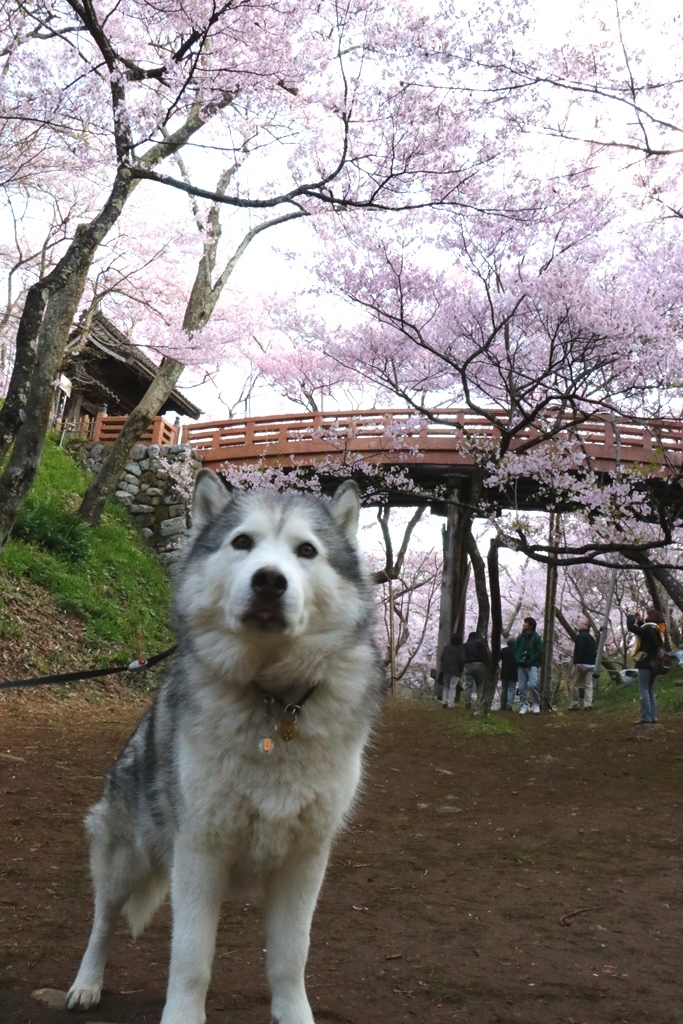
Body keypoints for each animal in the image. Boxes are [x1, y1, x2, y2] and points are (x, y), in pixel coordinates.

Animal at [68, 471, 385, 1024]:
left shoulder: (306, 861)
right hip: (123, 860)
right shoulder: (200, 852)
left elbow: (290, 957)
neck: (273, 701)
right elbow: (191, 959)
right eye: (242, 543)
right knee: (102, 924)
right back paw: (86, 984)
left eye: (307, 550)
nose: (269, 581)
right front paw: (182, 1016)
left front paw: (294, 1014)